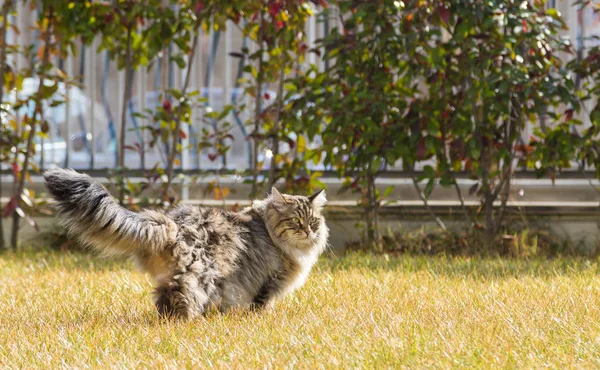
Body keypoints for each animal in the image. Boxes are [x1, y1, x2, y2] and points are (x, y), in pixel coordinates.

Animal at [43, 169, 328, 320]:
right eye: (295, 221)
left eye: (314, 221)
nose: (309, 231)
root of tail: (171, 222)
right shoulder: (269, 281)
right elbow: (261, 304)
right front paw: (260, 318)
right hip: (199, 273)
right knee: (176, 294)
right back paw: (181, 321)